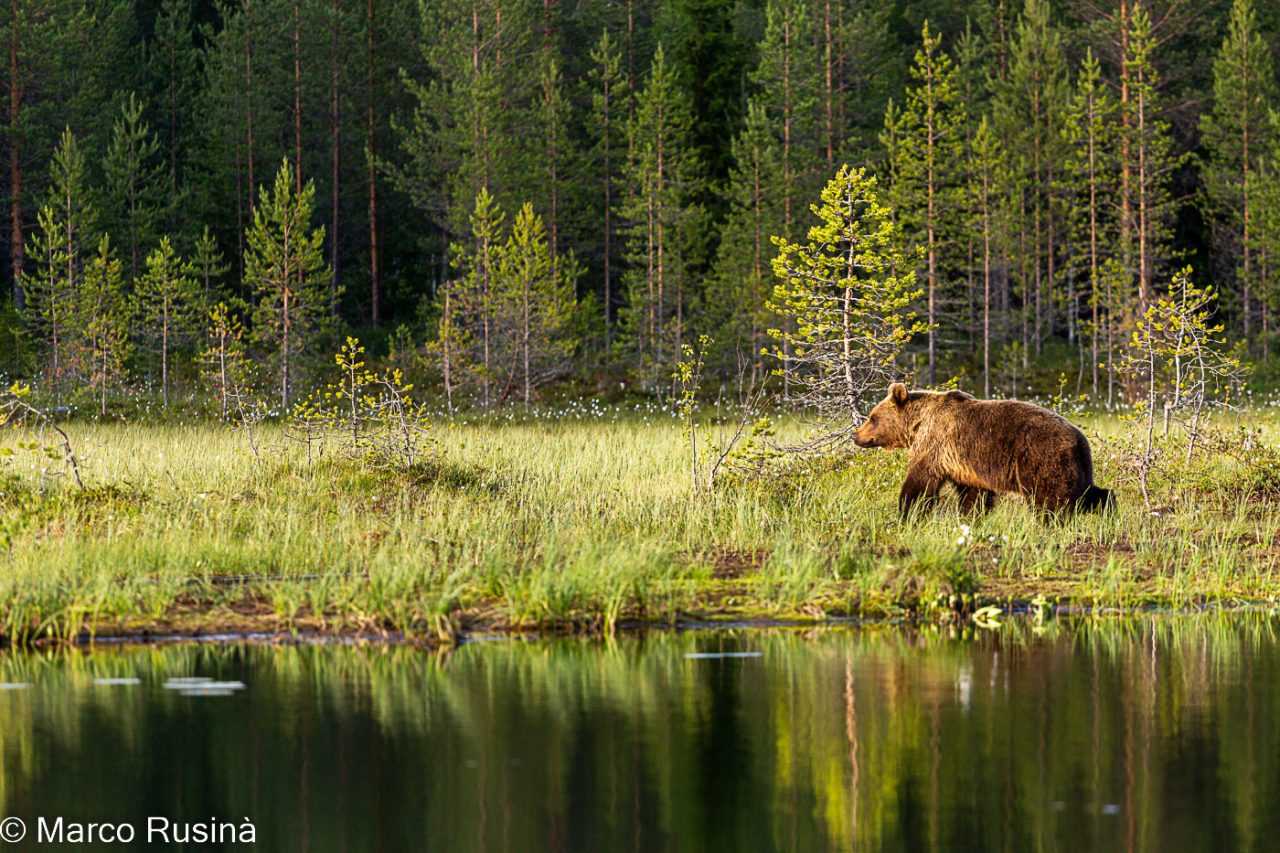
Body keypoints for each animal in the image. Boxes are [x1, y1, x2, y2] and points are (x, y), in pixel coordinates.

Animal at [855, 381, 1116, 514]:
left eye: (872, 417)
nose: (856, 436)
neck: (917, 424)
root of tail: (1081, 441)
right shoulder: (964, 463)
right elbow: (974, 493)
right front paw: (971, 515)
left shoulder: (934, 444)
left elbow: (920, 481)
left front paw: (907, 511)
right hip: (1076, 465)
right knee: (1089, 492)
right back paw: (1108, 508)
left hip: (1041, 458)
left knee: (1051, 497)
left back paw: (1050, 519)